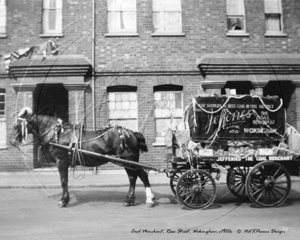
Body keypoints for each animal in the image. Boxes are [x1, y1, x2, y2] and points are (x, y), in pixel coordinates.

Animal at [9, 107, 155, 208]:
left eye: (17, 125)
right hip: (128, 161)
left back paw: (149, 199)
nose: (11, 141)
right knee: (133, 177)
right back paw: (130, 200)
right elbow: (65, 181)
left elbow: (63, 181)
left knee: (140, 175)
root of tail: (132, 133)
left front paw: (63, 201)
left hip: (129, 159)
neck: (57, 134)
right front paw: (65, 199)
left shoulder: (61, 161)